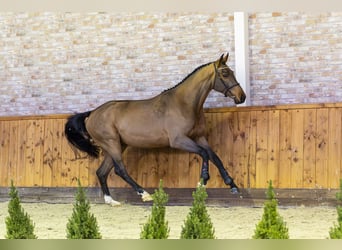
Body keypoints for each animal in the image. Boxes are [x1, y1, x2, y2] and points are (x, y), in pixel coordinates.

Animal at [64, 52, 246, 205]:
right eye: (225, 73)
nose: (241, 96)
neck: (184, 104)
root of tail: (91, 114)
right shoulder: (178, 140)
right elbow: (204, 154)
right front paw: (203, 181)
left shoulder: (199, 137)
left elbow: (214, 156)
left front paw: (232, 186)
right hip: (112, 143)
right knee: (119, 169)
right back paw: (144, 194)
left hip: (116, 145)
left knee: (102, 172)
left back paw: (111, 201)